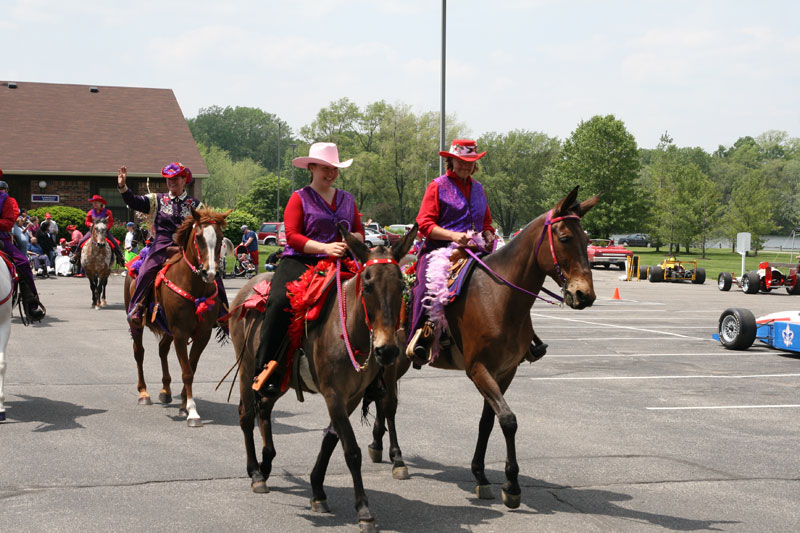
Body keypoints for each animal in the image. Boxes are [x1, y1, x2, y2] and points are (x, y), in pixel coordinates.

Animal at [122, 206, 230, 426]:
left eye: (221, 237)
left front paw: (183, 405)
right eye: (198, 237)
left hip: (167, 328)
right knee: (139, 352)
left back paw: (166, 390)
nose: (210, 273)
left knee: (162, 350)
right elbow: (187, 371)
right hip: (137, 324)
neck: (194, 287)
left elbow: (191, 367)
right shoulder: (180, 332)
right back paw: (143, 393)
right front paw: (192, 412)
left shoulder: (202, 334)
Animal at [228, 223, 416, 532]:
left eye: (401, 286)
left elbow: (331, 439)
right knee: (246, 415)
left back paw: (266, 465)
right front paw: (364, 510)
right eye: (367, 285)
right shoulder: (333, 394)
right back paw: (255, 472)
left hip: (279, 378)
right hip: (246, 369)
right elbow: (351, 450)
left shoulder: (351, 397)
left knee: (264, 407)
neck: (347, 328)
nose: (387, 350)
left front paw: (317, 490)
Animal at [366, 187, 596, 508]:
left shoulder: (505, 371)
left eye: (587, 241)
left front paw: (481, 475)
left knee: (383, 398)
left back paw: (377, 444)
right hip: (394, 358)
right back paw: (397, 459)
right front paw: (511, 485)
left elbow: (489, 421)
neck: (499, 298)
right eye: (564, 238)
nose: (584, 294)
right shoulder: (477, 369)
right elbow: (509, 420)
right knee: (389, 403)